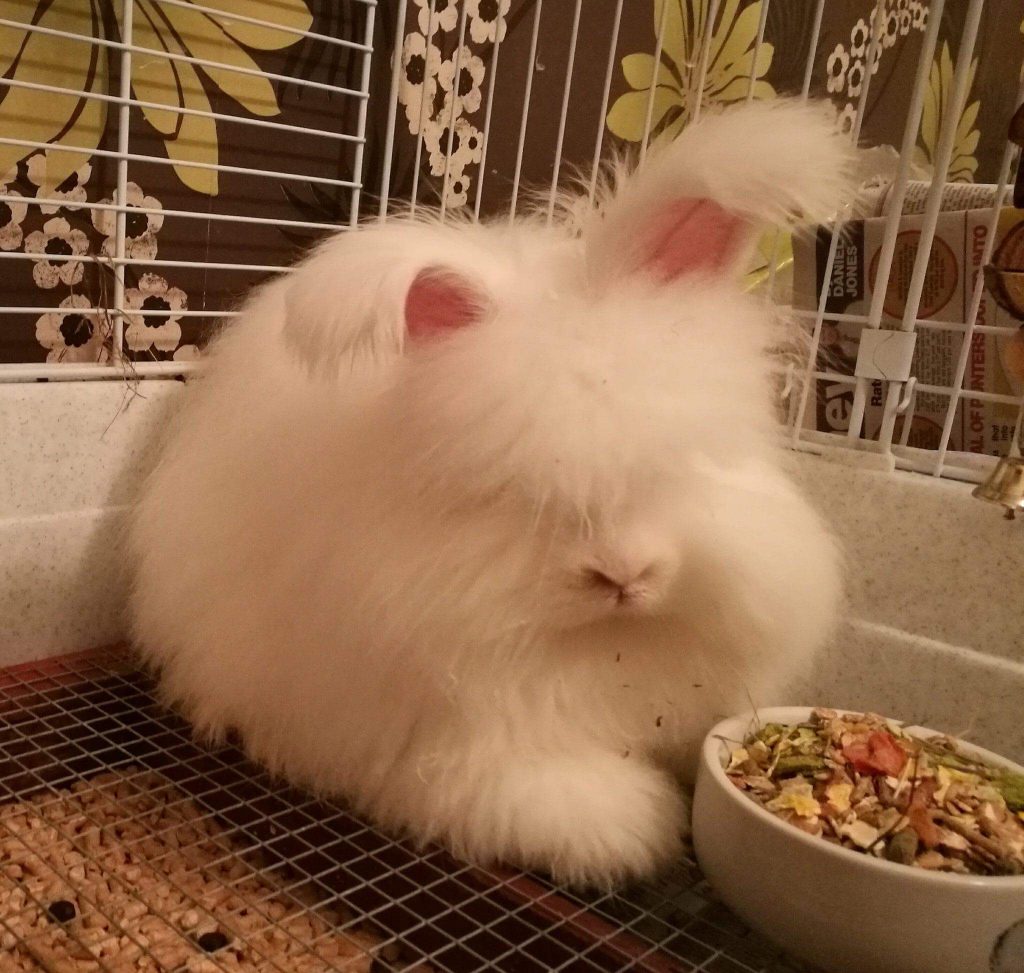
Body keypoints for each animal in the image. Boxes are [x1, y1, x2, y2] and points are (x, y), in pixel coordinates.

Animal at [128, 99, 852, 889]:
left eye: (683, 461)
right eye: (512, 487)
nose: (623, 575)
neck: (601, 651)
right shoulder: (451, 757)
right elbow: (557, 803)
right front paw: (634, 830)